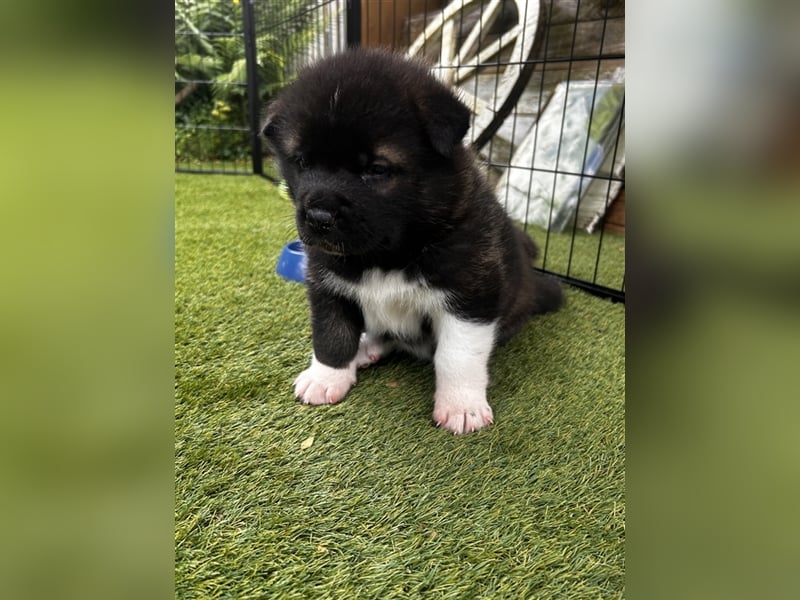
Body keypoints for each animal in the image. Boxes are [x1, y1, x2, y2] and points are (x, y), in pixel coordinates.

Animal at [262, 47, 564, 432]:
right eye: (301, 162)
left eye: (376, 169)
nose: (318, 217)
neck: (386, 254)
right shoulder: (326, 283)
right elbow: (331, 335)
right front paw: (326, 377)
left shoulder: (470, 294)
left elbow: (457, 355)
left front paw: (461, 405)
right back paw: (366, 348)